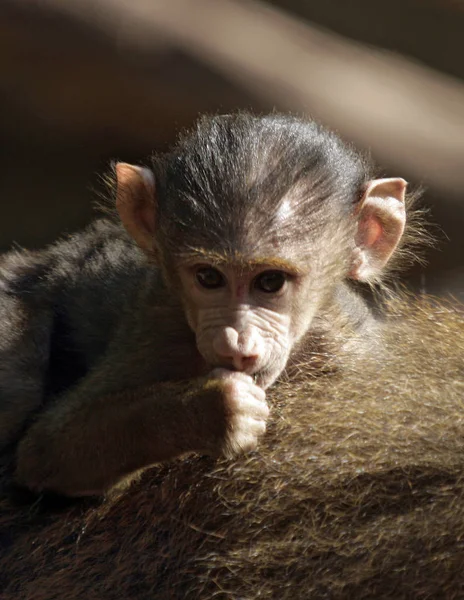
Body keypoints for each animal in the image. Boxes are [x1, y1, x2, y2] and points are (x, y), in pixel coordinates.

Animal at [0, 111, 432, 496]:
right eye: (209, 277)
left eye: (270, 282)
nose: (235, 343)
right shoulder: (161, 323)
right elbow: (47, 448)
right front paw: (215, 409)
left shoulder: (353, 353)